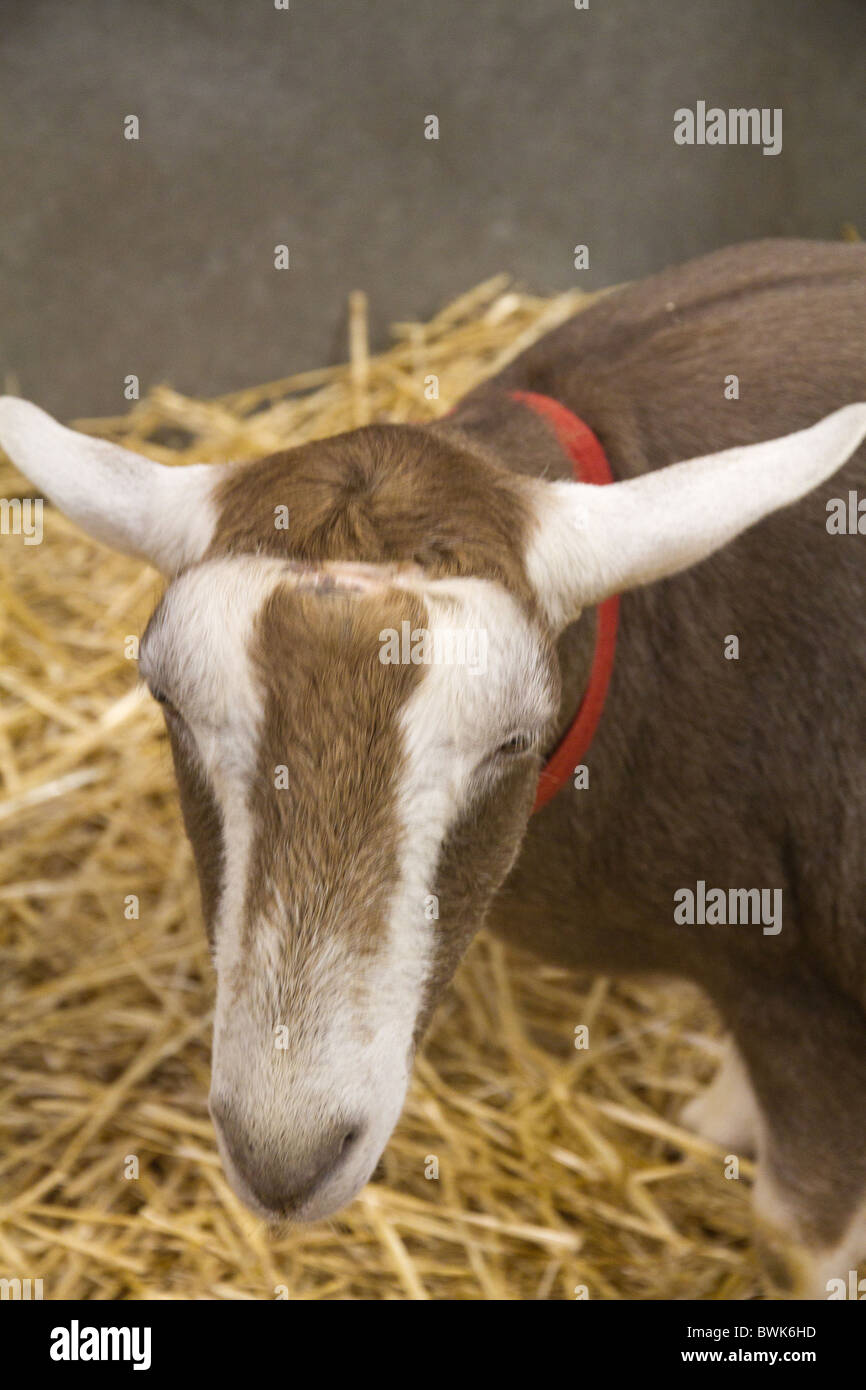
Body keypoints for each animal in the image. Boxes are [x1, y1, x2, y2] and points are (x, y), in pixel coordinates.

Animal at [2, 238, 866, 1297]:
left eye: (512, 740)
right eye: (168, 700)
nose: (284, 1155)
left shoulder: (809, 1008)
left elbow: (794, 1238)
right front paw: (716, 1116)